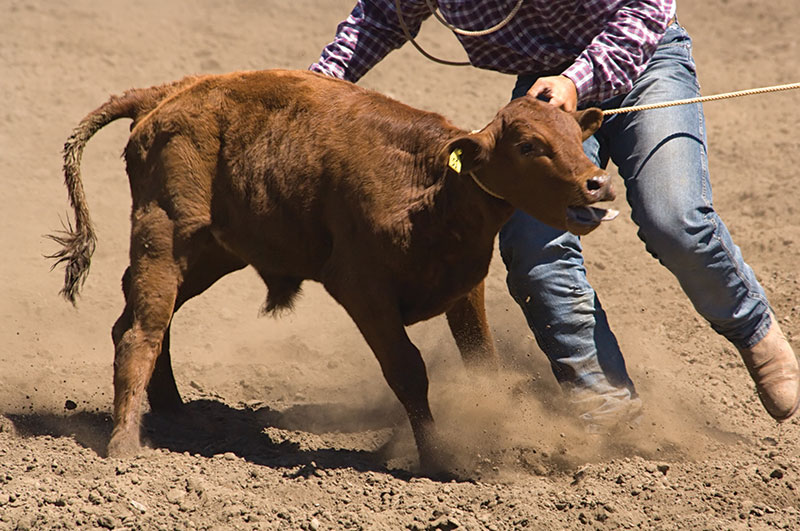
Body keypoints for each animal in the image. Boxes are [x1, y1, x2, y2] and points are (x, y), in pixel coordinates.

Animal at [50, 69, 612, 474]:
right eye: (528, 145)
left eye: (574, 134)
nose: (598, 184)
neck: (429, 187)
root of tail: (165, 94)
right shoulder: (362, 289)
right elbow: (408, 371)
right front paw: (438, 460)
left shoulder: (464, 285)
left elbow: (482, 363)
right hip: (165, 237)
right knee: (140, 332)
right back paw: (126, 448)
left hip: (212, 253)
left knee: (139, 318)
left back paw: (173, 412)